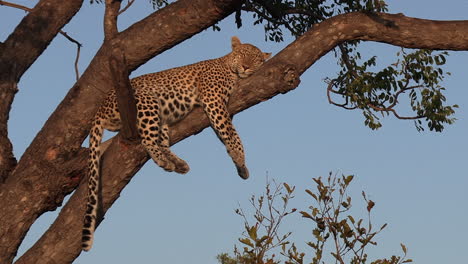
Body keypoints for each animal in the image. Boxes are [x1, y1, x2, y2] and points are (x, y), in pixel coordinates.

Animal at [81, 36, 270, 251]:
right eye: (242, 54)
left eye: (256, 59)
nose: (246, 67)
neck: (228, 66)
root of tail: (100, 108)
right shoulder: (213, 100)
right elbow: (229, 131)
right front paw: (239, 157)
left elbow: (227, 134)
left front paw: (239, 164)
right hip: (147, 101)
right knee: (147, 139)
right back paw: (164, 161)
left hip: (161, 119)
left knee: (162, 142)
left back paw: (177, 164)